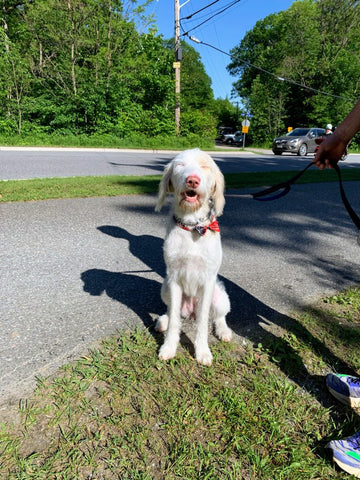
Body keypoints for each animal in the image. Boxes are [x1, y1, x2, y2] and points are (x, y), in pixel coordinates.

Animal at [154, 148, 232, 366]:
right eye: (180, 165)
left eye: (205, 166)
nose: (192, 180)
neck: (191, 226)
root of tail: (190, 312)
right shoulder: (173, 278)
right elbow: (174, 321)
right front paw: (168, 347)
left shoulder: (208, 281)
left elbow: (204, 321)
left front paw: (202, 351)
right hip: (165, 287)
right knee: (172, 311)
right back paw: (163, 320)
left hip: (221, 296)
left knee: (218, 316)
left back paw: (223, 331)